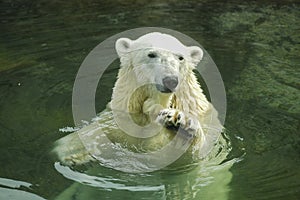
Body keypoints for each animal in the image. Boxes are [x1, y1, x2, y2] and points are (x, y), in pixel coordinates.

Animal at [51, 32, 221, 169]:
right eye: (151, 54)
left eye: (180, 57)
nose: (170, 80)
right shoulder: (119, 118)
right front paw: (75, 155)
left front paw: (180, 122)